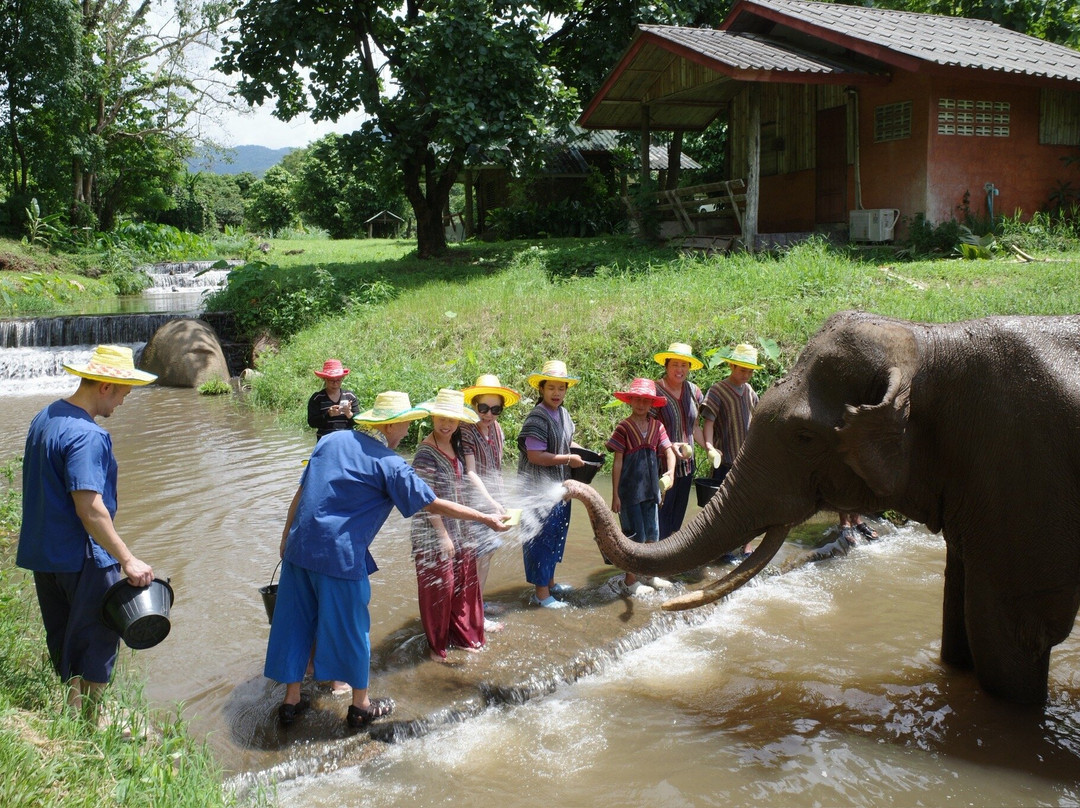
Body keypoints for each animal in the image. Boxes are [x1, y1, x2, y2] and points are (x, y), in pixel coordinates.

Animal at [566, 311, 1080, 705]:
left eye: (803, 437)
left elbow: (1009, 635)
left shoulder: (1022, 483)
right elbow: (961, 614)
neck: (929, 340)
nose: (569, 485)